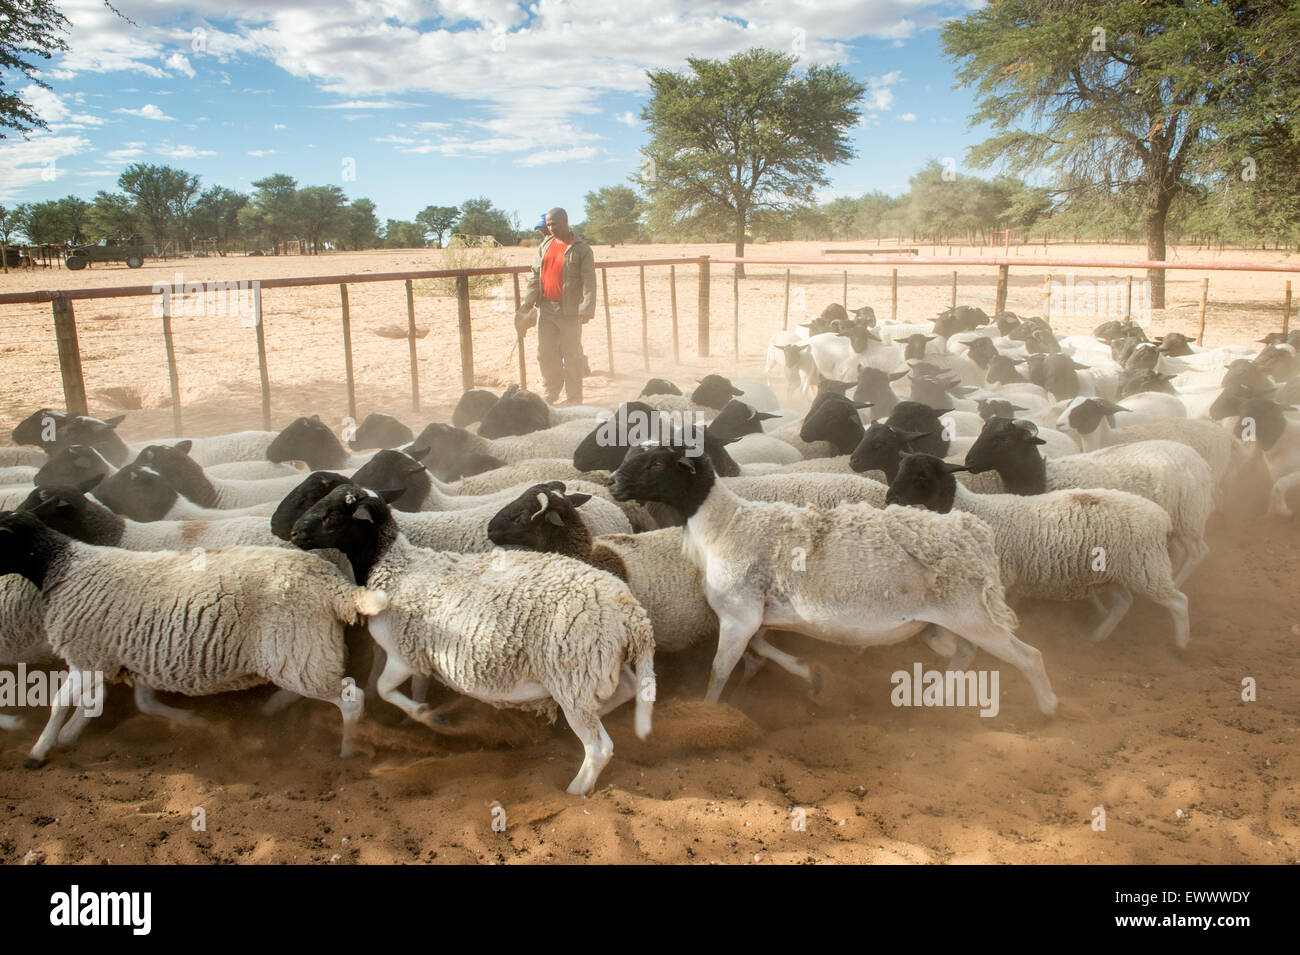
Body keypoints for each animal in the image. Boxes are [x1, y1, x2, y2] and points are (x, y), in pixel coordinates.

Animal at [0, 510, 387, 766]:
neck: (62, 567)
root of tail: (336, 586)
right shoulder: (122, 657)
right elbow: (132, 703)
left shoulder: (85, 656)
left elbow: (59, 702)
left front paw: (39, 750)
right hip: (300, 653)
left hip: (298, 651)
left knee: (352, 700)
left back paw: (348, 750)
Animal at [289, 484, 655, 795]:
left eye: (333, 513)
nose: (293, 532)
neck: (393, 566)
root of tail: (633, 616)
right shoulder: (421, 656)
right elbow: (414, 687)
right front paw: (424, 714)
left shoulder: (402, 653)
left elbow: (383, 689)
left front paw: (430, 716)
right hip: (598, 666)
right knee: (625, 690)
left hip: (573, 676)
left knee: (599, 747)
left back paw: (575, 789)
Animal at [608, 441, 1058, 713]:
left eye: (657, 462)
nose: (611, 482)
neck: (724, 524)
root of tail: (975, 533)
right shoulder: (759, 614)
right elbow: (761, 648)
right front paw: (812, 675)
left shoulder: (738, 614)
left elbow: (721, 669)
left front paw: (708, 711)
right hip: (946, 620)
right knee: (963, 653)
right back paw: (934, 696)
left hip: (974, 615)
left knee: (1029, 656)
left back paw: (1049, 707)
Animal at [886, 453, 1188, 646]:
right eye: (900, 467)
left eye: (923, 474)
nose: (891, 496)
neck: (971, 507)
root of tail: (1162, 517)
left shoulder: (1002, 576)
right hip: (1113, 572)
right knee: (1124, 602)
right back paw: (1099, 635)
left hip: (1147, 566)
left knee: (1179, 601)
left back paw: (1181, 644)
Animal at [964, 417, 1213, 584]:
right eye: (983, 430)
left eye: (1003, 439)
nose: (969, 461)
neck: (1042, 476)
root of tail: (1199, 460)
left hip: (1189, 517)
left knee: (1199, 552)